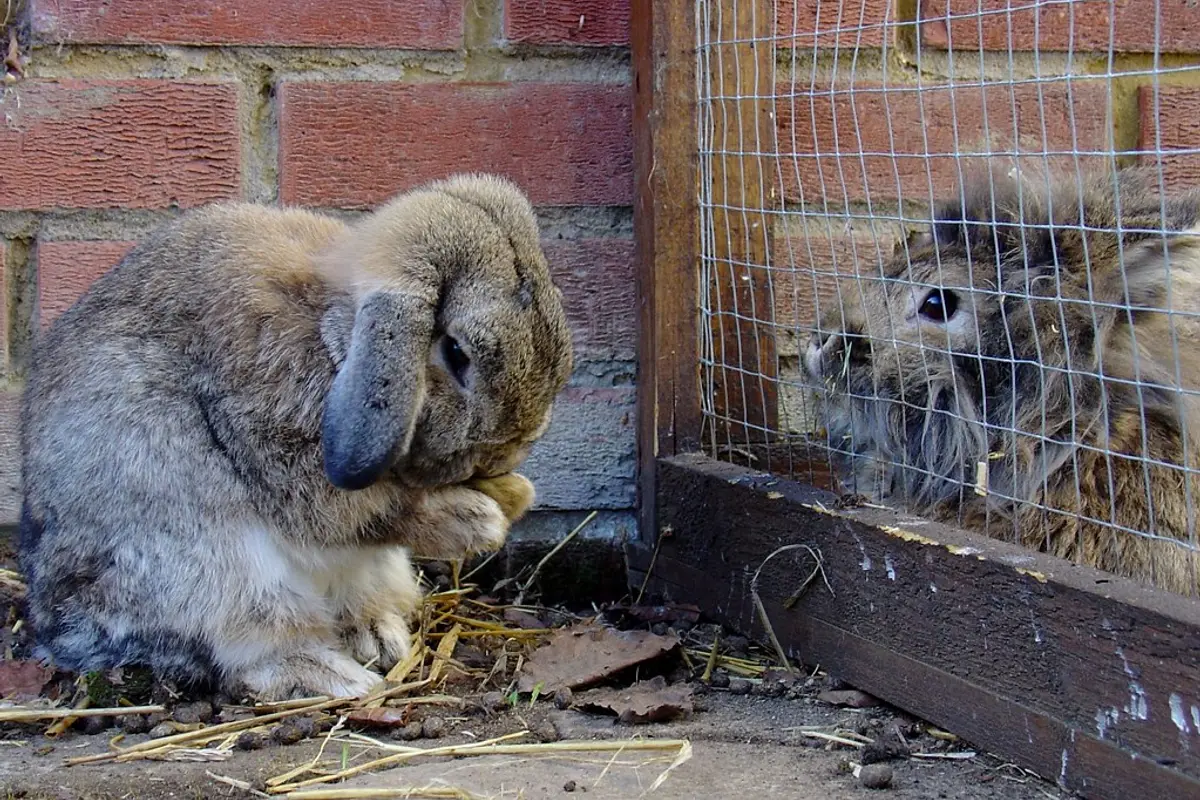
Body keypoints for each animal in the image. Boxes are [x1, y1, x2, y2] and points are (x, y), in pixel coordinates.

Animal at [18, 173, 574, 699]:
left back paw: (378, 637)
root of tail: (57, 620)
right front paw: (478, 520)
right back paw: (335, 677)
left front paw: (518, 495)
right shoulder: (278, 445)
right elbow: (366, 513)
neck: (335, 338)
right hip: (208, 565)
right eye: (456, 352)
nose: (507, 453)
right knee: (250, 647)